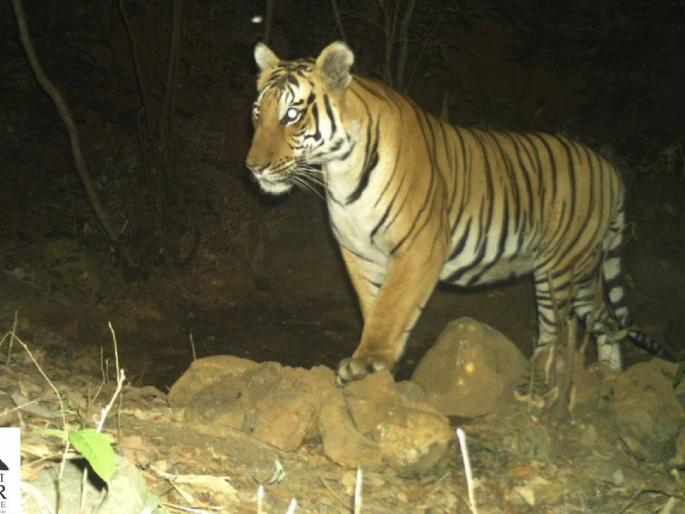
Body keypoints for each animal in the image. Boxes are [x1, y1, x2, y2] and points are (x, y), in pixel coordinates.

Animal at [245, 41, 672, 384]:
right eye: (257, 114)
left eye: (292, 115)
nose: (253, 167)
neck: (339, 170)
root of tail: (609, 166)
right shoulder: (358, 252)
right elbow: (372, 305)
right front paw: (378, 362)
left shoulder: (418, 246)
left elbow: (392, 306)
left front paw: (367, 362)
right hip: (582, 269)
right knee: (605, 320)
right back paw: (609, 376)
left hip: (557, 269)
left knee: (556, 328)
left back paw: (539, 379)